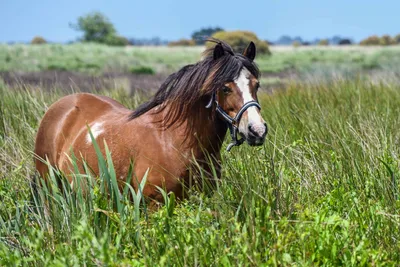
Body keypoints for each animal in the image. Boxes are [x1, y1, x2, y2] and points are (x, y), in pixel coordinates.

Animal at [33, 40, 266, 203]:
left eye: (257, 85)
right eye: (225, 88)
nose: (257, 130)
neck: (175, 141)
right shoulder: (154, 204)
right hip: (48, 188)